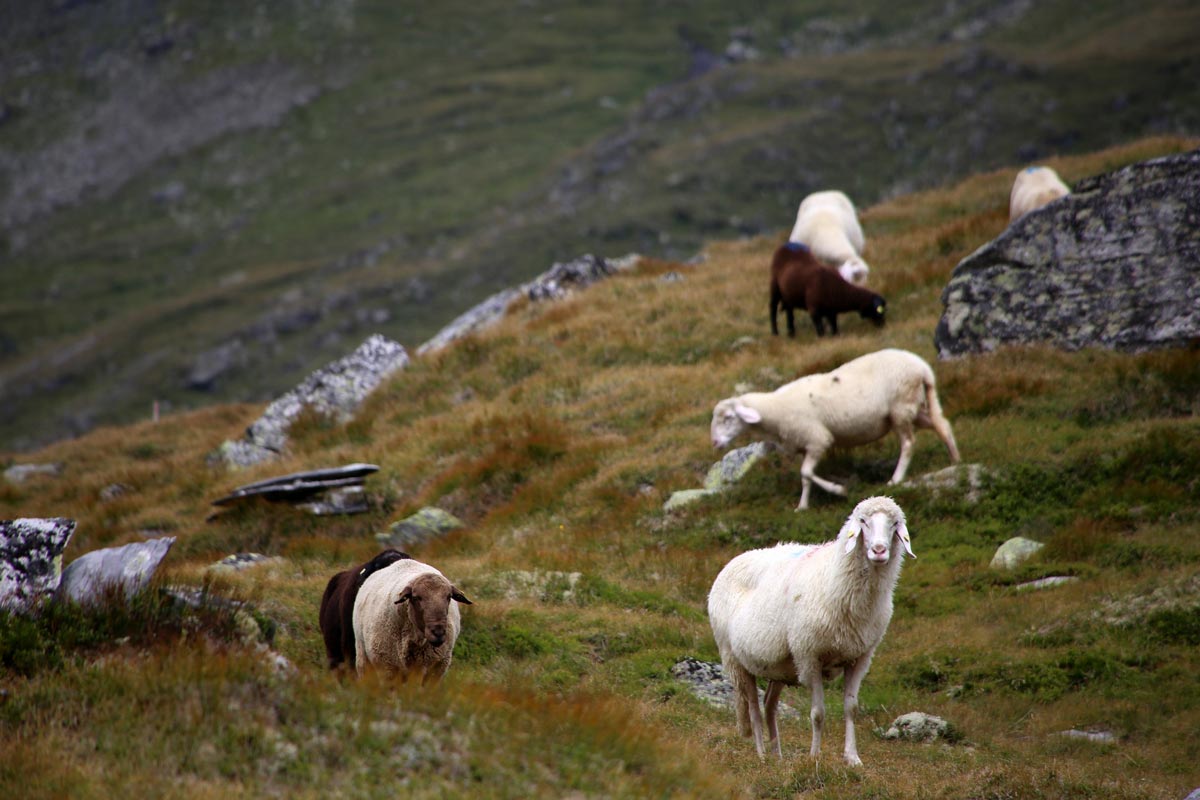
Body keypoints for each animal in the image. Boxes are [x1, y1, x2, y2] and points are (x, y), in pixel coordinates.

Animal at [705, 494, 912, 762]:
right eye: (863, 521)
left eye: (895, 523)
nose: (879, 550)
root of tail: (734, 560)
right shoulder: (809, 655)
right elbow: (818, 712)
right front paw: (815, 756)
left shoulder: (859, 657)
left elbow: (851, 708)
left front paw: (852, 758)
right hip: (736, 659)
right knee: (752, 707)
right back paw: (762, 754)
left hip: (779, 666)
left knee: (769, 704)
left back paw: (778, 756)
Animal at [710, 347, 955, 510]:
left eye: (728, 418)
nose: (715, 442)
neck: (775, 411)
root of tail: (922, 367)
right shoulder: (804, 444)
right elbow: (806, 478)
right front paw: (803, 506)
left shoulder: (818, 439)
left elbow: (806, 473)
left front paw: (839, 490)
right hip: (913, 408)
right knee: (942, 425)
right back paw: (955, 460)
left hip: (901, 407)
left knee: (908, 443)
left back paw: (896, 478)